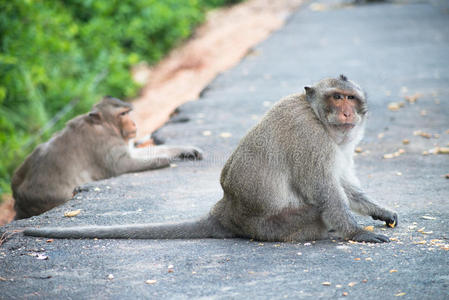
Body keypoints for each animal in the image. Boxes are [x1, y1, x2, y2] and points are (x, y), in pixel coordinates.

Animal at [12, 97, 202, 219]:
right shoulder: (103, 143)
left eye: (128, 112)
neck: (106, 126)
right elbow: (122, 164)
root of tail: (17, 199)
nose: (134, 124)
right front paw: (162, 160)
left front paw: (186, 150)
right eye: (123, 114)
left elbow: (136, 152)